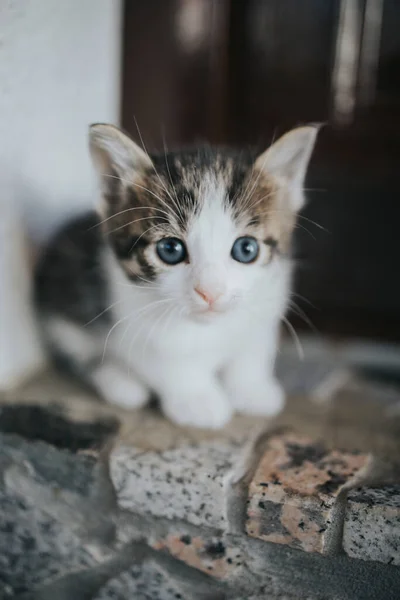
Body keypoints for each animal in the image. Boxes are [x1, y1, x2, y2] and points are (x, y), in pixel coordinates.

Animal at [33, 124, 318, 428]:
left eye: (246, 249)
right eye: (170, 249)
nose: (210, 292)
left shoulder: (268, 300)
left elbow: (251, 347)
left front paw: (251, 388)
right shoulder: (130, 314)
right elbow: (166, 358)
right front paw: (198, 399)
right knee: (81, 358)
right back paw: (121, 383)